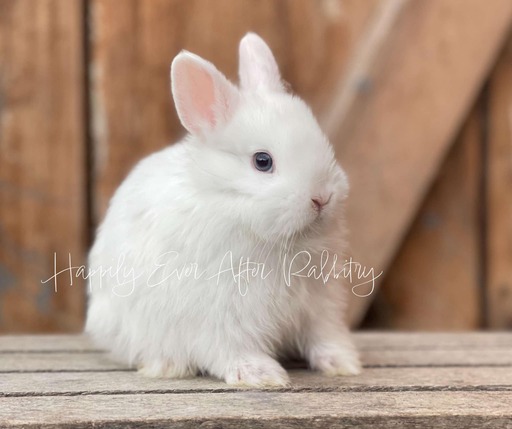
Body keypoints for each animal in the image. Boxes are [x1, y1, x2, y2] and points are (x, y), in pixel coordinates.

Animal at [86, 30, 360, 384]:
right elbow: (229, 348)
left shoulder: (318, 303)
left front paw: (343, 363)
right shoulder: (220, 312)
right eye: (262, 161)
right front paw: (262, 375)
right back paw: (167, 366)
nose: (322, 198)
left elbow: (324, 335)